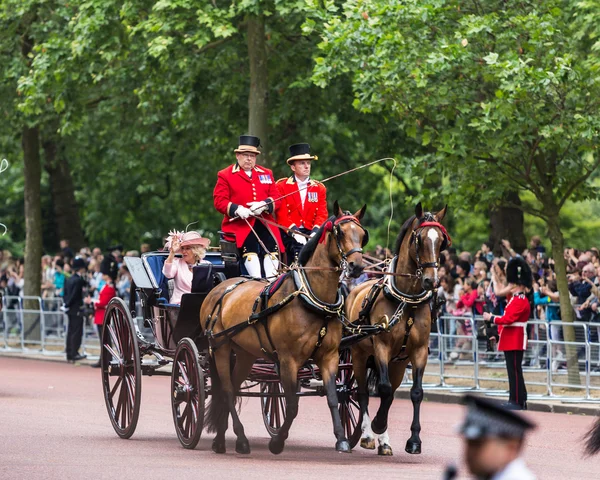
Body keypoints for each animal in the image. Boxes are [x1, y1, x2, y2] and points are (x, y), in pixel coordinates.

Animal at [204, 202, 368, 454]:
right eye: (340, 232)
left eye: (362, 234)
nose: (356, 266)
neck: (312, 299)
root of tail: (220, 288)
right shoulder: (288, 360)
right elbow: (291, 406)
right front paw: (277, 442)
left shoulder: (329, 356)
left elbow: (332, 397)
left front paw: (341, 439)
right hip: (220, 348)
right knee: (228, 391)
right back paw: (239, 439)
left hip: (244, 354)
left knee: (230, 387)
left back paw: (221, 439)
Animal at [344, 203, 448, 458]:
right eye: (419, 239)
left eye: (441, 241)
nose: (432, 281)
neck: (406, 301)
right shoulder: (381, 347)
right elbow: (383, 389)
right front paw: (377, 426)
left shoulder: (417, 352)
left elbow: (415, 393)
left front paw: (414, 441)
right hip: (359, 355)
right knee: (361, 392)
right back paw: (368, 435)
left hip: (398, 364)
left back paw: (384, 442)